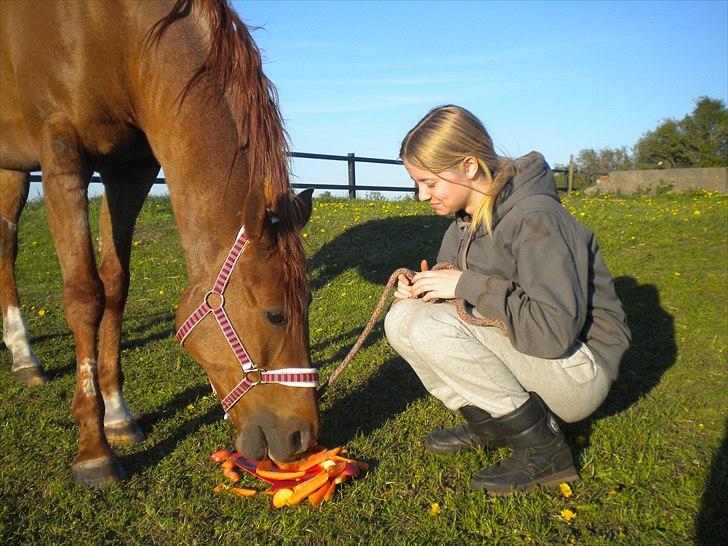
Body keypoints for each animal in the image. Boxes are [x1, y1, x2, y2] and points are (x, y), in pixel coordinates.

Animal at [0, 0, 318, 484]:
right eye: (275, 314)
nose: (303, 438)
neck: (109, 33)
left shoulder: (129, 170)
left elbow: (114, 286)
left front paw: (118, 416)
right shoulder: (61, 159)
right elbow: (84, 295)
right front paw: (94, 450)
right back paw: (24, 355)